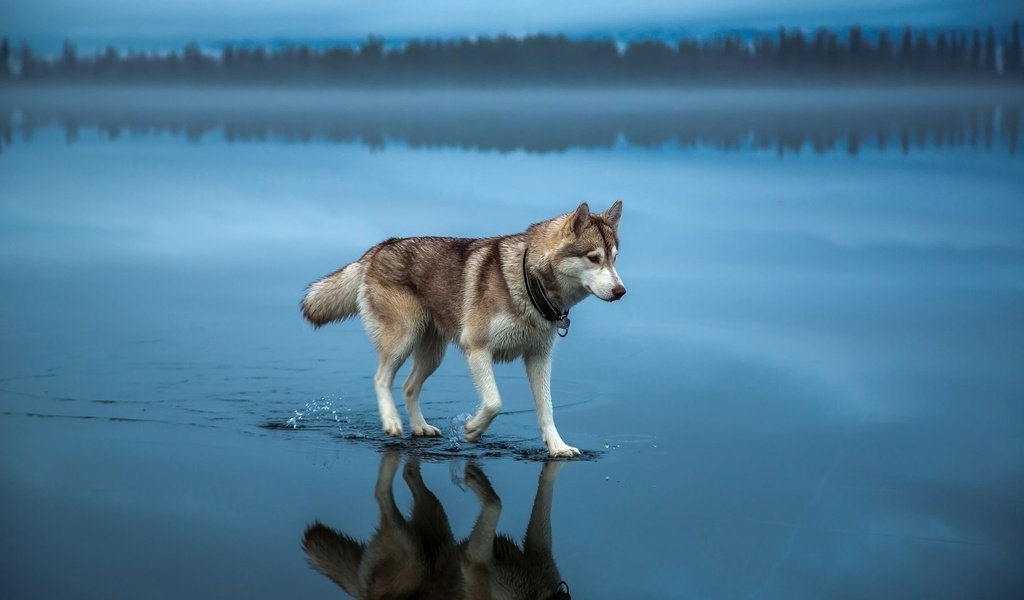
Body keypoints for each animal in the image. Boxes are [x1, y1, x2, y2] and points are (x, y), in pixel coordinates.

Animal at [299, 198, 626, 454]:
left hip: (433, 354)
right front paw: (472, 429)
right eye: (593, 258)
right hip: (402, 340)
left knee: (408, 387)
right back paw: (391, 422)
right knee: (381, 379)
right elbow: (494, 402)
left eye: (614, 259)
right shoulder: (477, 349)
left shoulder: (539, 357)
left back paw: (420, 427)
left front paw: (558, 447)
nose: (621, 291)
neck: (529, 282)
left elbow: (546, 408)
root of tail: (380, 247)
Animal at [303, 450, 573, 593]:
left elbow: (545, 492)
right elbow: (496, 503)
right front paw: (476, 481)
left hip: (435, 519)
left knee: (409, 473)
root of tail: (362, 593)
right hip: (413, 550)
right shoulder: (475, 563)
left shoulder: (539, 550)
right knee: (381, 493)